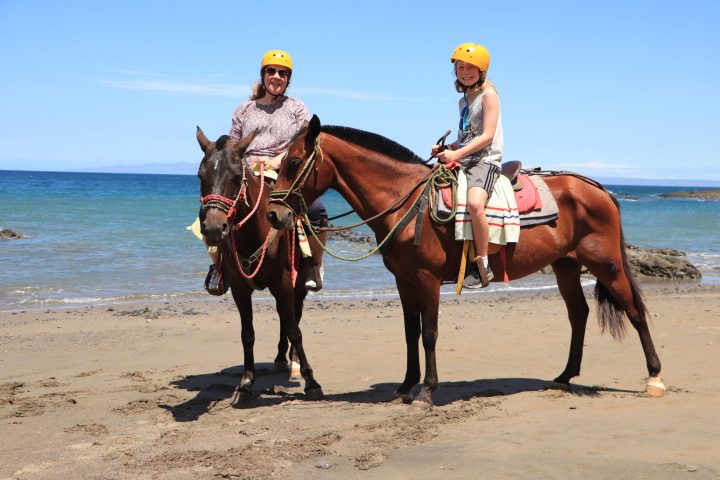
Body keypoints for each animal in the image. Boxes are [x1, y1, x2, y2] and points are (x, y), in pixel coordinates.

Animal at [196, 128, 323, 402]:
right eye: (200, 175)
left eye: (236, 176)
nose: (214, 229)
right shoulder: (239, 289)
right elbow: (247, 334)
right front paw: (246, 383)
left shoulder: (284, 283)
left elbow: (295, 329)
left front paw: (311, 381)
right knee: (283, 315)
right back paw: (280, 357)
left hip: (298, 285)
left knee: (293, 315)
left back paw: (293, 360)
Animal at [266, 114, 665, 408]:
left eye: (296, 162)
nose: (272, 214)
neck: (403, 200)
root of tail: (599, 189)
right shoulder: (403, 281)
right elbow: (410, 334)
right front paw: (405, 387)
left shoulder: (426, 279)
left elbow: (429, 333)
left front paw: (426, 391)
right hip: (566, 265)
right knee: (578, 314)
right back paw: (565, 376)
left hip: (607, 264)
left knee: (634, 311)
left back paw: (654, 377)